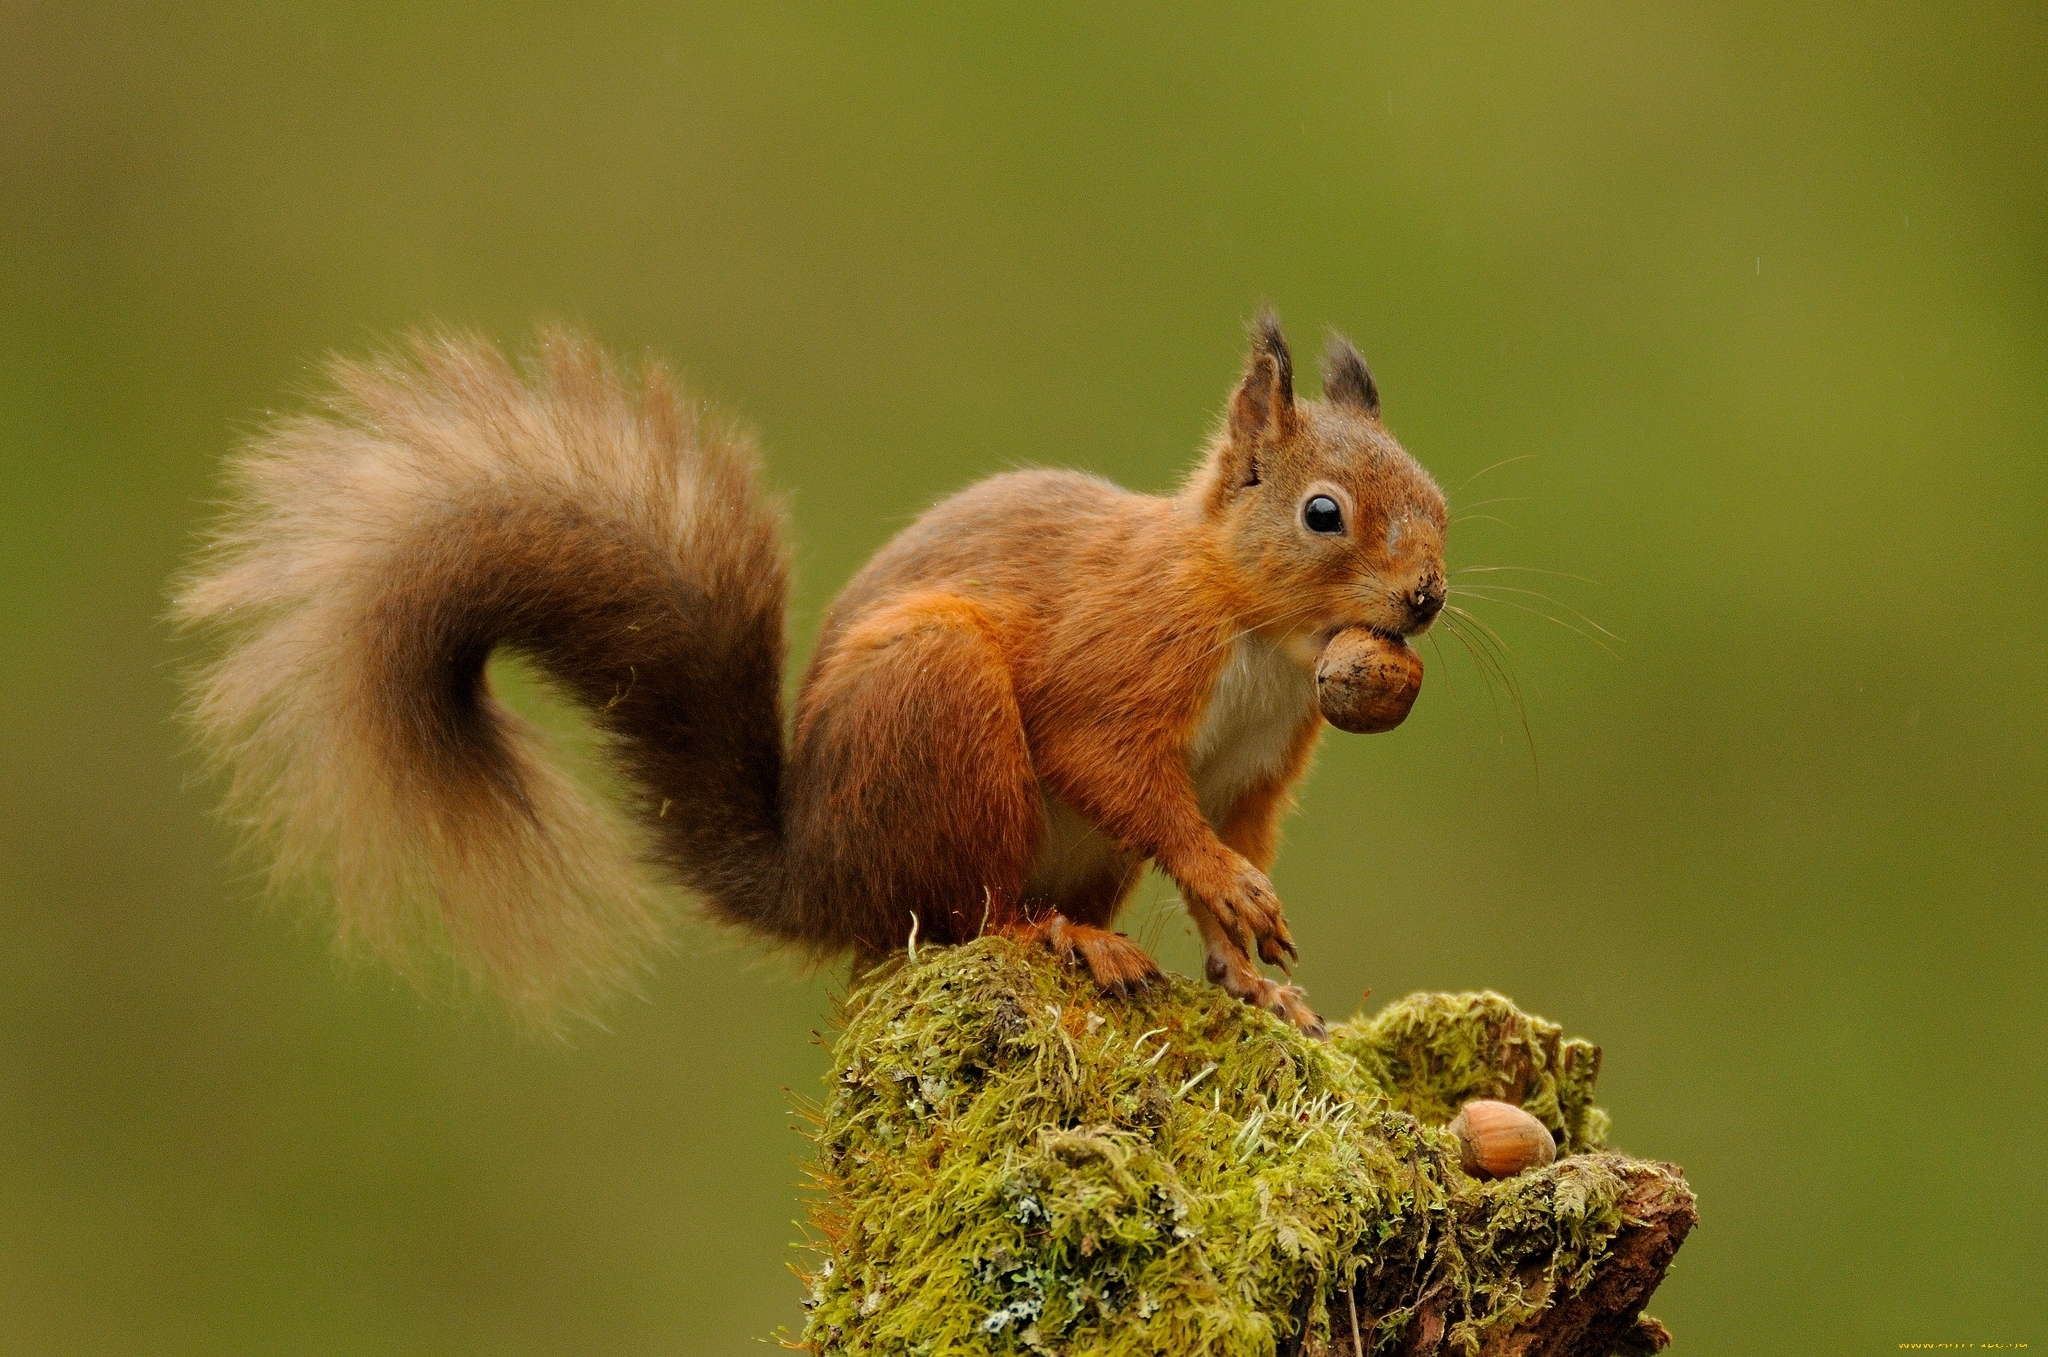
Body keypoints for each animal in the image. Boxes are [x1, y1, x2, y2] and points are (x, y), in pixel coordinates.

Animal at [173, 310, 1447, 1035]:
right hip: (940, 708)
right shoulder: (1122, 660)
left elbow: (1219, 850)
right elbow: (1120, 773)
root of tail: (820, 874)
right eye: (1322, 512)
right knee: (966, 910)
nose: (1426, 597)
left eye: (1434, 495)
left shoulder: (1254, 770)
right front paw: (1233, 895)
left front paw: (1250, 970)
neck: (1257, 632)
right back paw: (1060, 937)